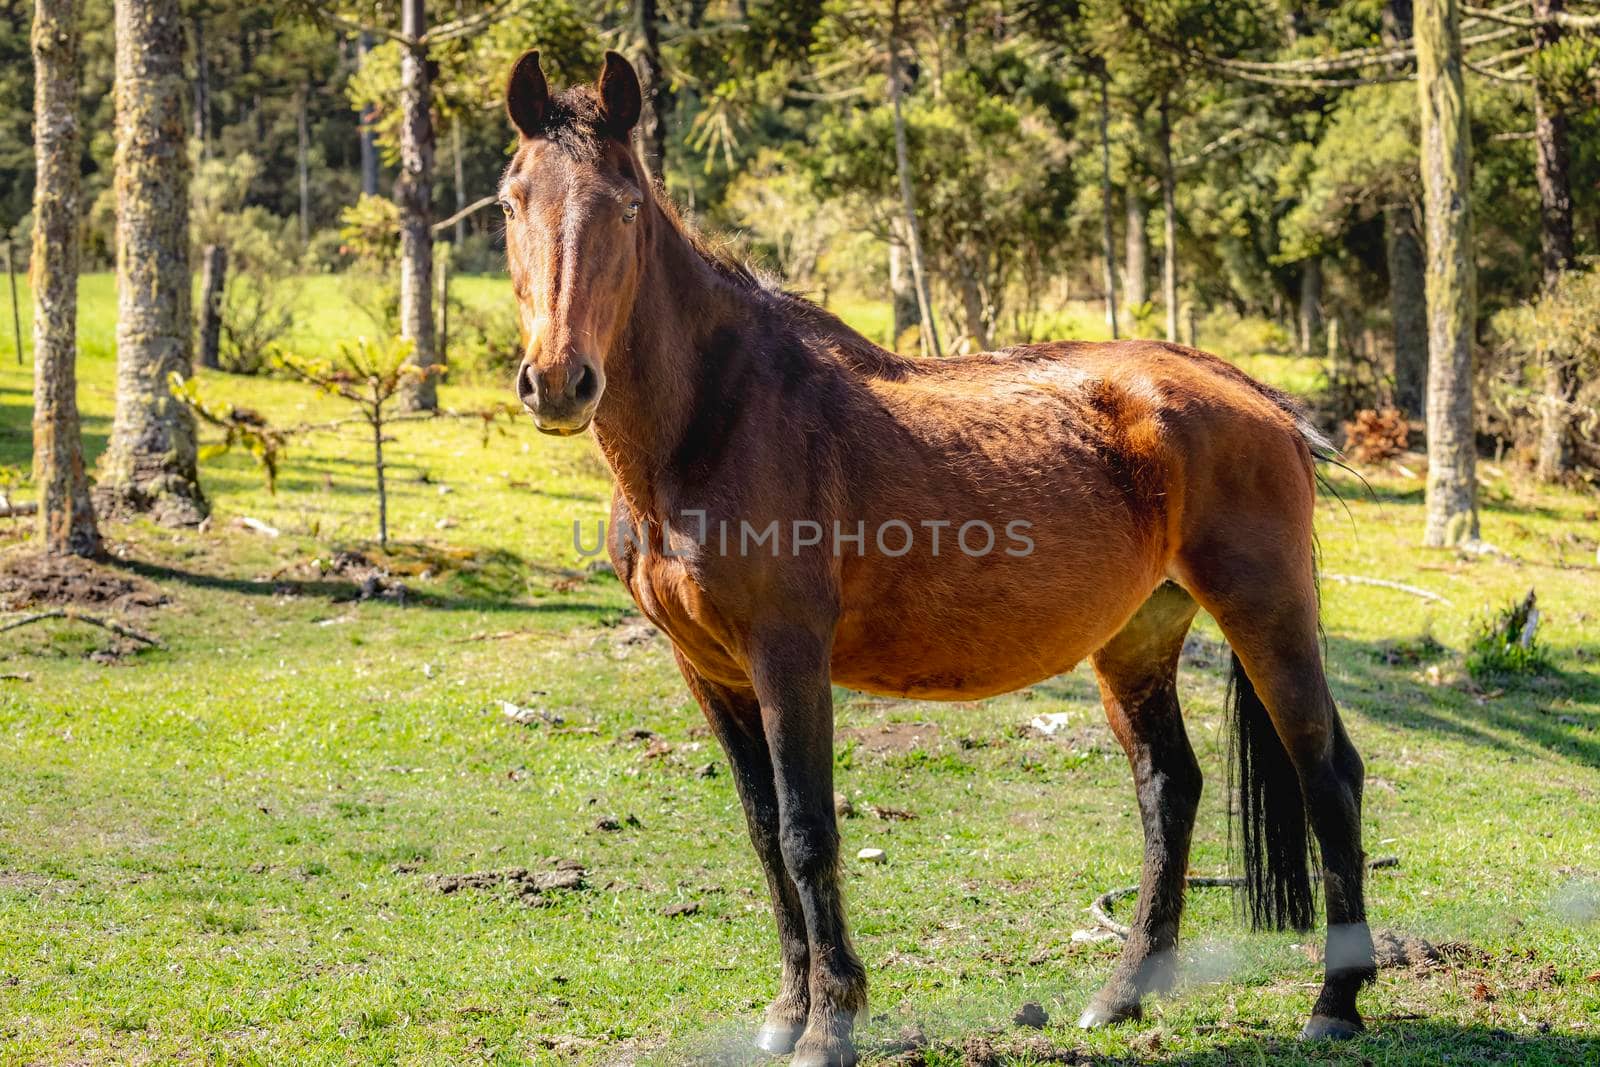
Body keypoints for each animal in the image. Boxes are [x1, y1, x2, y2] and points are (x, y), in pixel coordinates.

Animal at [499, 49, 1376, 1067]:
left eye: (627, 207)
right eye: (512, 201)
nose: (558, 381)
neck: (714, 421)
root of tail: (1257, 398)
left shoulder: (787, 655)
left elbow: (805, 831)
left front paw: (830, 1022)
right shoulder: (707, 668)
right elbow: (761, 829)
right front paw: (786, 1010)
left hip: (1267, 613)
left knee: (1328, 773)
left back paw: (1336, 1000)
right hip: (1138, 636)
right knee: (1169, 787)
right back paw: (1121, 994)